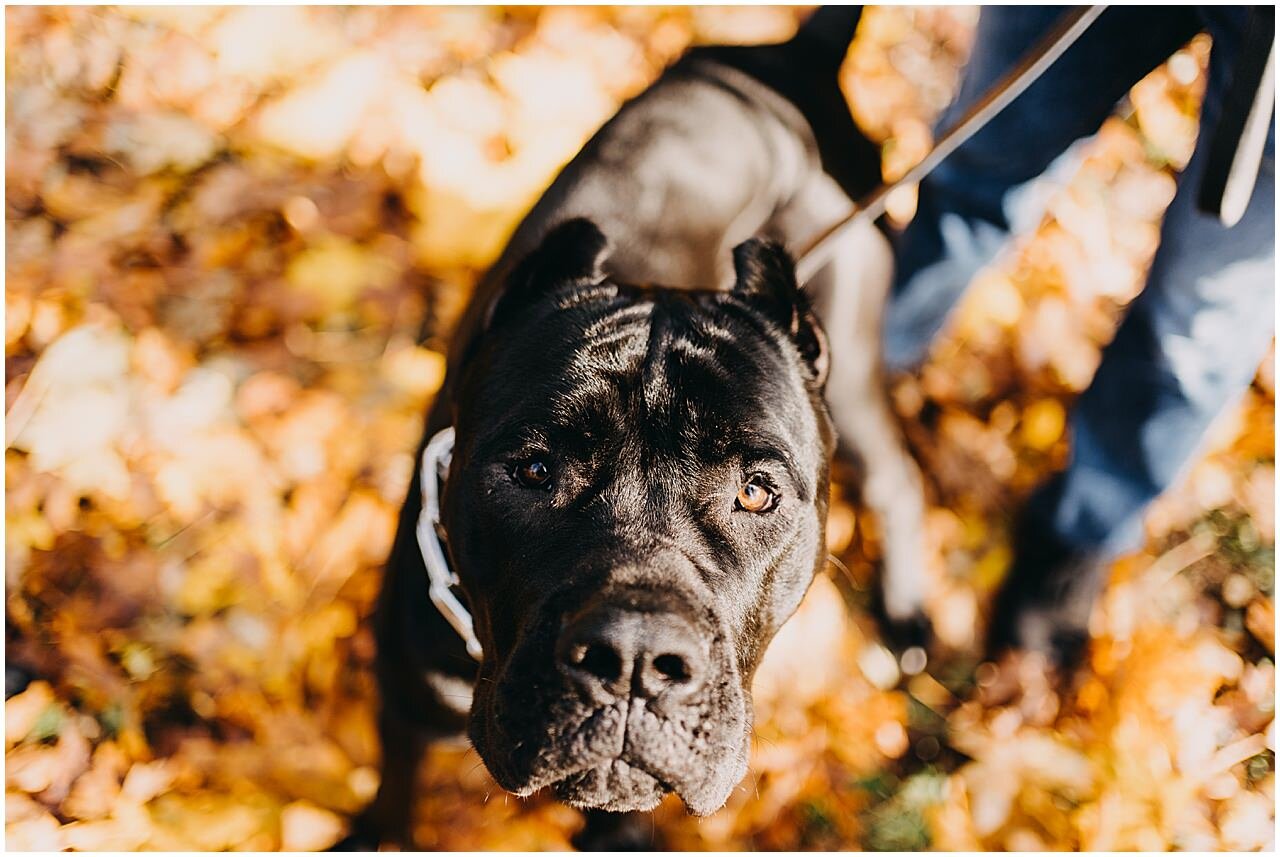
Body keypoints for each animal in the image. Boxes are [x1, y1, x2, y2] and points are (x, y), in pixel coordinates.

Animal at [350, 8, 931, 854]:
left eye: (758, 492)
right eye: (534, 470)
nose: (633, 656)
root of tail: (799, 54)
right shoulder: (403, 701)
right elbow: (395, 798)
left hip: (853, 364)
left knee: (896, 475)